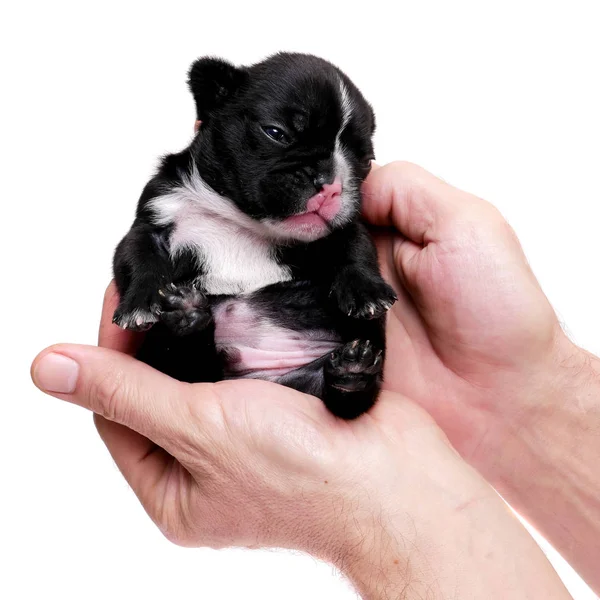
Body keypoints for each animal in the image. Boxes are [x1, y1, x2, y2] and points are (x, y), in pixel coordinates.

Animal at [111, 52, 398, 418]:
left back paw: (353, 373)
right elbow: (138, 259)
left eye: (366, 159)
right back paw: (187, 317)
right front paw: (141, 302)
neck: (244, 220)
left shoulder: (343, 226)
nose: (331, 184)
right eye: (276, 133)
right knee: (191, 367)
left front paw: (366, 292)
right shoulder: (156, 216)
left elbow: (356, 248)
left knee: (348, 401)